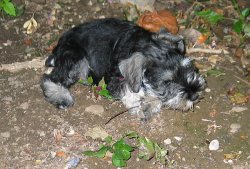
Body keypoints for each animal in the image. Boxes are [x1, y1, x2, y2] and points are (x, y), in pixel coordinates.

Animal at [40, 18, 205, 120]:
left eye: (188, 68)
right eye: (167, 81)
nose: (194, 96)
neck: (141, 44)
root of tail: (59, 46)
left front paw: (149, 104)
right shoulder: (114, 79)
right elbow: (129, 90)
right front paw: (140, 106)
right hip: (76, 60)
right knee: (50, 78)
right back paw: (61, 97)